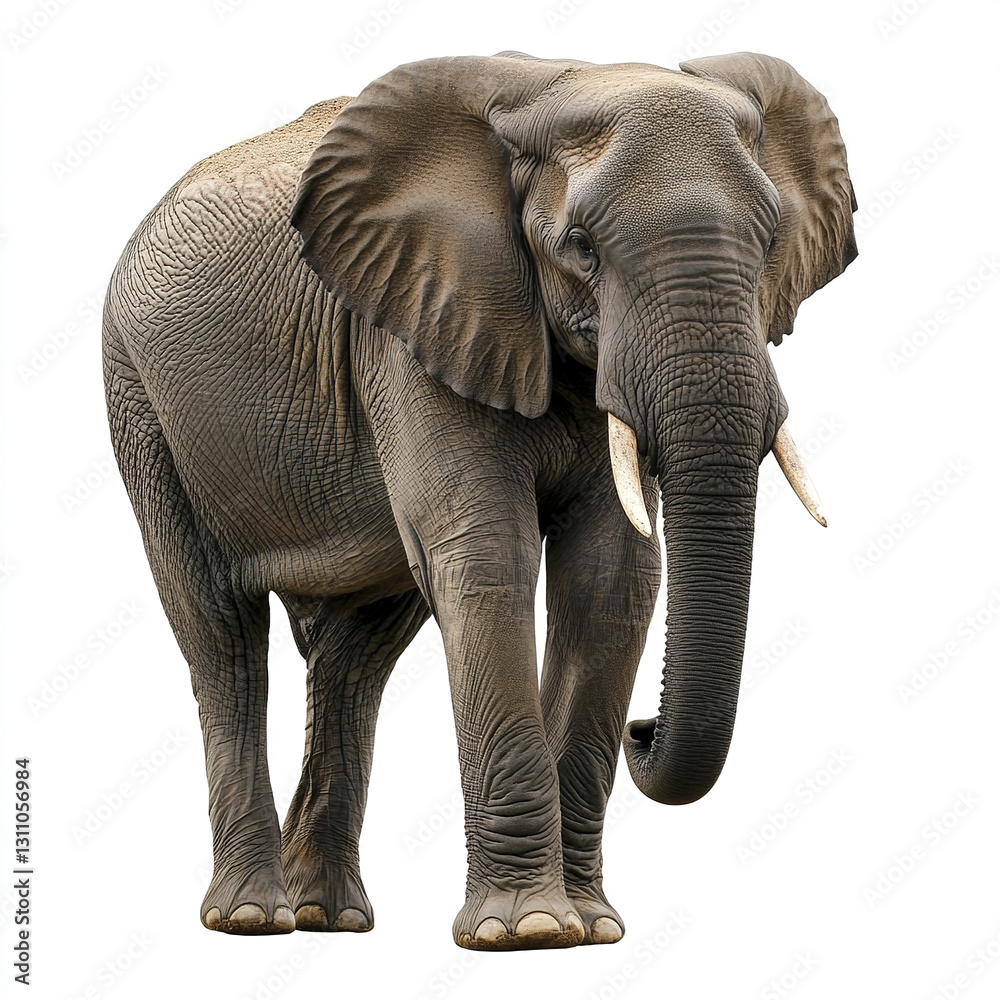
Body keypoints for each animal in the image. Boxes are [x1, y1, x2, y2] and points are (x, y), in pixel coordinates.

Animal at [102, 50, 856, 951]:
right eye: (580, 247)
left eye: (773, 241)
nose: (643, 729)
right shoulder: (413, 325)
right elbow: (489, 557)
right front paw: (526, 932)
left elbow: (613, 581)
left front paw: (592, 928)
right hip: (140, 400)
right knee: (222, 637)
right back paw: (253, 917)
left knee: (357, 653)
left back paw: (329, 918)